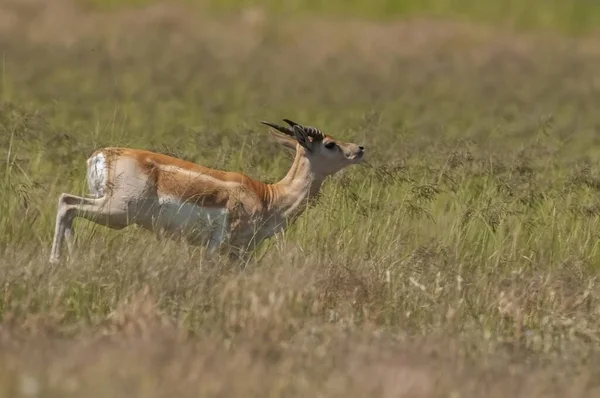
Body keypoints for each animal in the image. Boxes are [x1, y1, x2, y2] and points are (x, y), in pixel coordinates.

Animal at [48, 117, 366, 264]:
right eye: (330, 144)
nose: (360, 148)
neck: (268, 196)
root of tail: (101, 155)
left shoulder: (242, 253)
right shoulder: (217, 245)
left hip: (106, 204)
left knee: (69, 205)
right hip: (118, 212)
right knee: (66, 203)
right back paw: (55, 260)